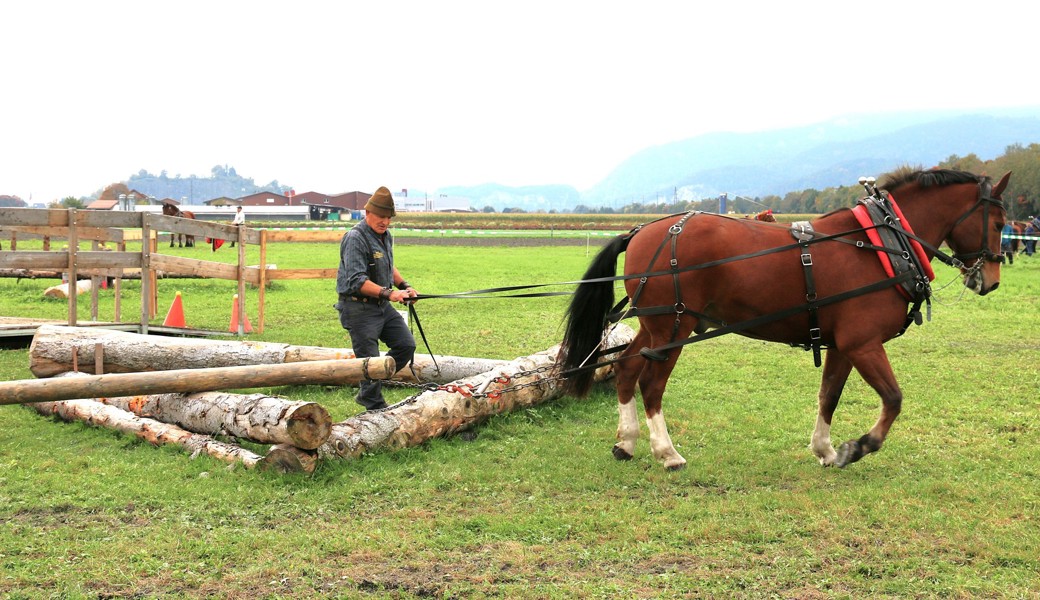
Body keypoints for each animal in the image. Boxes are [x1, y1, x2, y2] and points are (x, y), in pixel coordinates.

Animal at [558, 168, 1010, 471]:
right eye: (1000, 222)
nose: (990, 280)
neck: (882, 242)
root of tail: (642, 231)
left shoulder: (842, 345)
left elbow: (829, 395)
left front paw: (826, 449)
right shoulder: (863, 343)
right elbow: (894, 399)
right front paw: (858, 446)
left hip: (654, 326)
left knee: (625, 367)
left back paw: (627, 442)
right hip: (673, 327)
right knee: (651, 383)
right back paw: (667, 452)